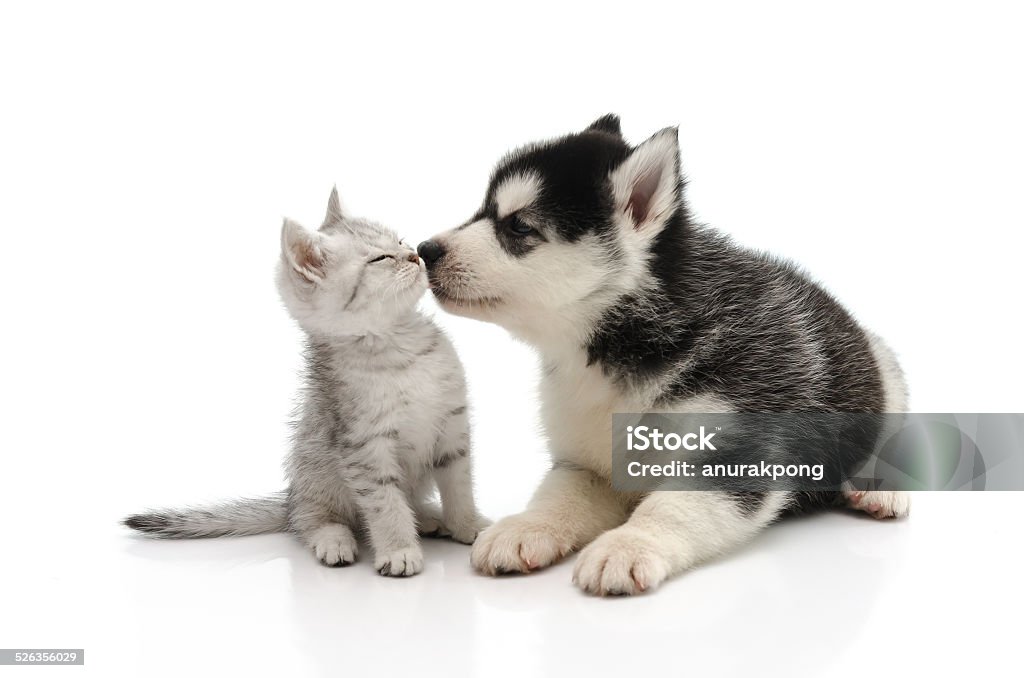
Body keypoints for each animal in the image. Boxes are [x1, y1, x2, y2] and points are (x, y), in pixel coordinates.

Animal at [124, 188, 487, 577]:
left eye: (400, 241)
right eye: (381, 258)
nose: (415, 254)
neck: (402, 345)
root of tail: (290, 499)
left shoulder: (452, 428)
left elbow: (460, 486)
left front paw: (469, 525)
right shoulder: (364, 448)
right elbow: (385, 503)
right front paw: (399, 549)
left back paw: (431, 518)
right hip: (316, 476)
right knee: (313, 521)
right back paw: (335, 540)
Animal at [417, 116, 913, 594]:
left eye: (518, 226)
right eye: (482, 210)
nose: (425, 250)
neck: (618, 348)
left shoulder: (738, 443)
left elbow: (672, 507)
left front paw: (628, 546)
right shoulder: (587, 460)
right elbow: (559, 495)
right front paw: (525, 527)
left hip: (883, 368)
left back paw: (879, 484)